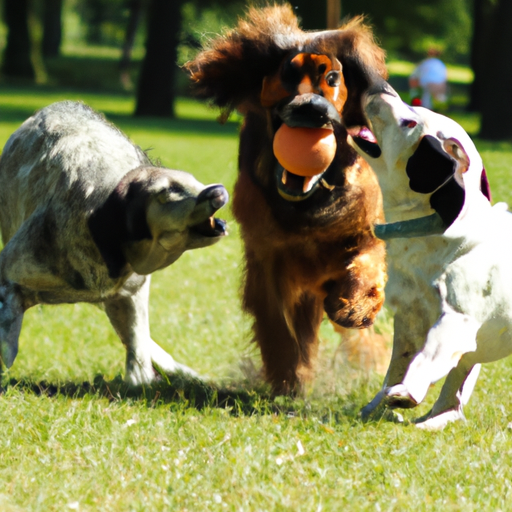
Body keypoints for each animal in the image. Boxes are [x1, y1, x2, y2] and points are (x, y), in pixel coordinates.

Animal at [0, 102, 228, 386]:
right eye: (166, 192)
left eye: (194, 180)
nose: (217, 190)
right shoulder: (13, 263)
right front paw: (7, 363)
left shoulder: (133, 287)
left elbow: (137, 332)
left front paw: (141, 383)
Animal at [188, 6, 388, 394]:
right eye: (288, 74)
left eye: (333, 77)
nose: (312, 109)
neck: (307, 205)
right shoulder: (266, 259)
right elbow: (277, 325)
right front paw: (288, 375)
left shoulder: (365, 229)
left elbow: (366, 267)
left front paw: (354, 306)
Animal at [346, 84, 510, 428]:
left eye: (409, 122)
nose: (380, 87)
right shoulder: (409, 317)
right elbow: (398, 365)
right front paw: (379, 405)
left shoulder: (456, 321)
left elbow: (425, 359)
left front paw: (405, 393)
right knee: (453, 399)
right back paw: (432, 421)